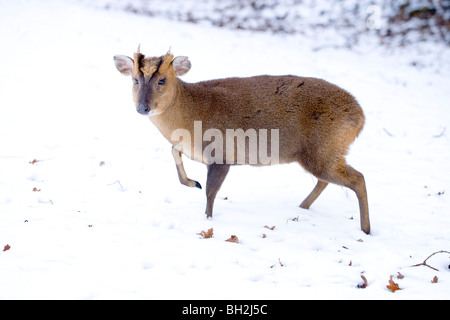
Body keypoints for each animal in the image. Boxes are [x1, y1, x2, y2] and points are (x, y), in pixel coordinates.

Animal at [114, 48, 370, 236]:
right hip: (322, 152)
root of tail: (361, 117)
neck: (188, 117)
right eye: (135, 80)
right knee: (327, 180)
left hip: (323, 148)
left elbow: (210, 192)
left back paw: (366, 230)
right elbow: (174, 154)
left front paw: (206, 220)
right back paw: (302, 208)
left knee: (357, 178)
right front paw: (193, 182)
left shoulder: (221, 153)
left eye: (162, 81)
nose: (143, 108)